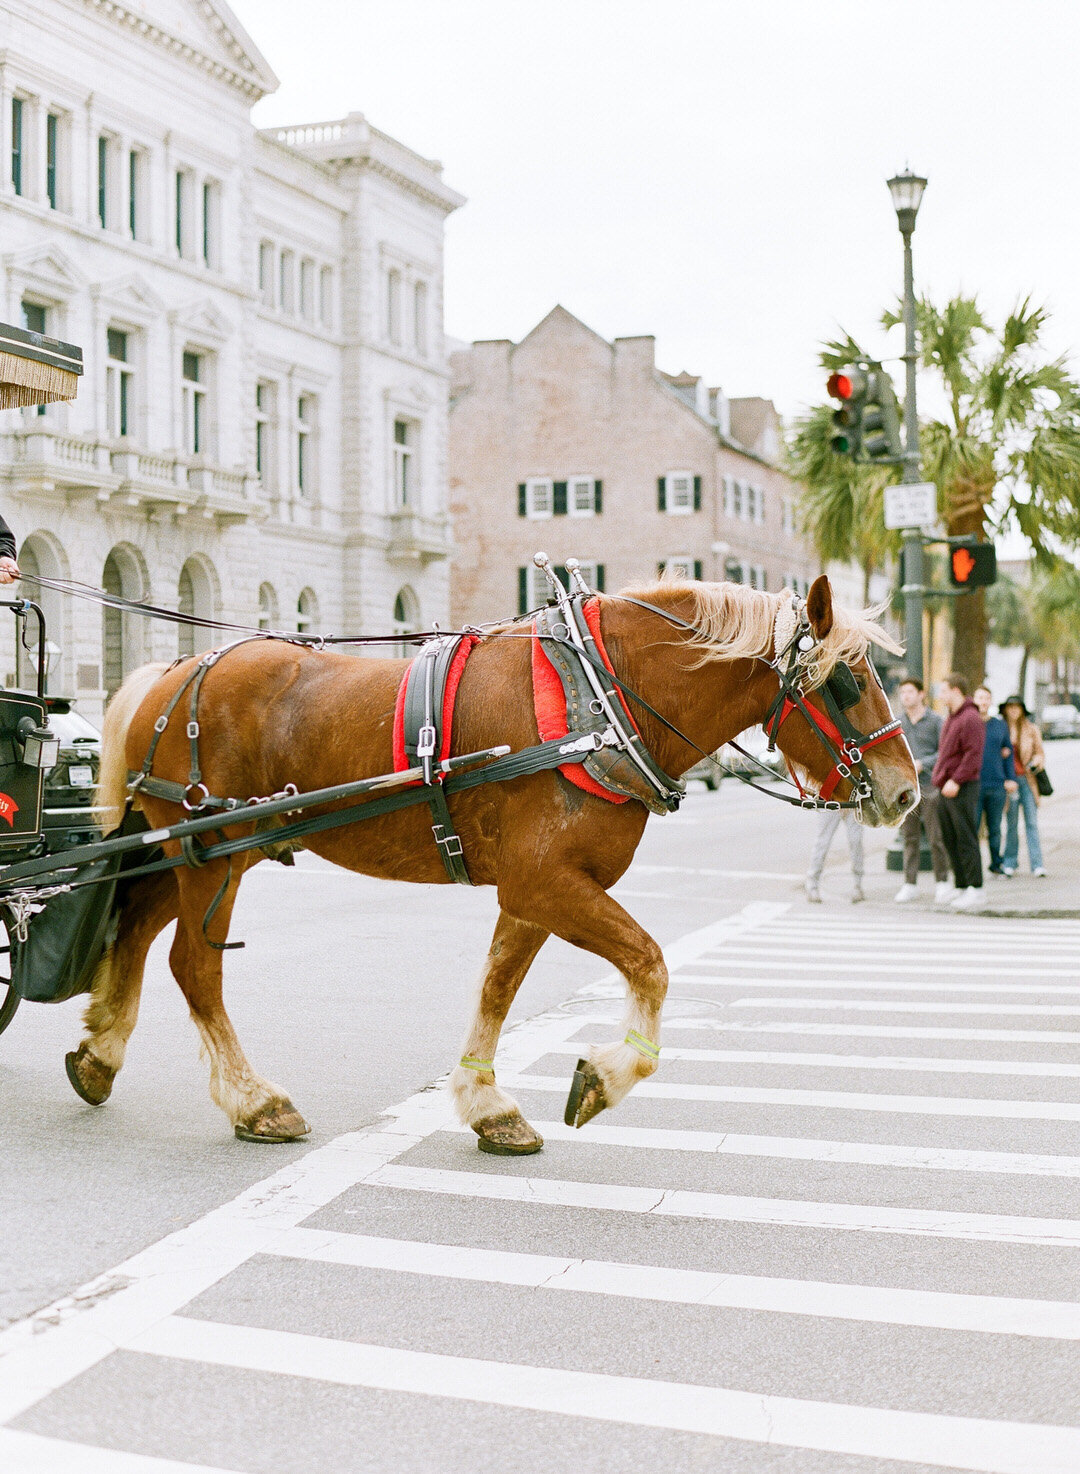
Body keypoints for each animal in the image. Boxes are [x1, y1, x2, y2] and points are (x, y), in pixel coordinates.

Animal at [73, 574, 919, 1149]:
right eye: (849, 680)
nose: (908, 791)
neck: (598, 702)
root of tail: (170, 671)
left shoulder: (534, 889)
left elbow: (498, 987)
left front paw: (488, 1104)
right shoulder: (546, 881)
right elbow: (649, 963)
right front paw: (604, 1078)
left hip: (193, 853)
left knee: (133, 931)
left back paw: (100, 1053)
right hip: (210, 859)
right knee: (193, 966)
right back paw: (254, 1101)